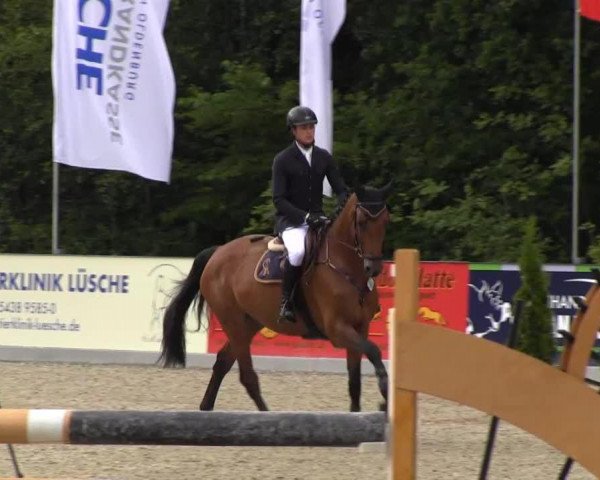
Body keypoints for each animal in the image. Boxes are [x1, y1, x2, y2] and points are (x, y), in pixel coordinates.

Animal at [159, 184, 394, 412]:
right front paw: (385, 394)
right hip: (233, 322)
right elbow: (374, 351)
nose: (373, 268)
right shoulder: (337, 329)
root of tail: (217, 252)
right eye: (362, 222)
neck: (346, 268)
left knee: (223, 362)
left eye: (385, 221)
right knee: (247, 376)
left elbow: (355, 380)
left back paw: (207, 407)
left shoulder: (360, 327)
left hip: (249, 323)